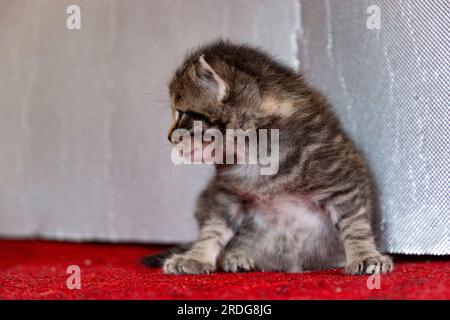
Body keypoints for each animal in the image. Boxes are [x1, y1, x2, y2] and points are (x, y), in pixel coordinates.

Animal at [142, 40, 392, 276]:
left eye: (182, 113)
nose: (169, 137)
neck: (252, 155)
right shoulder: (225, 194)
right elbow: (212, 228)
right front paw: (196, 257)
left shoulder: (340, 179)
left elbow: (354, 222)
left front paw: (365, 255)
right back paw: (235, 256)